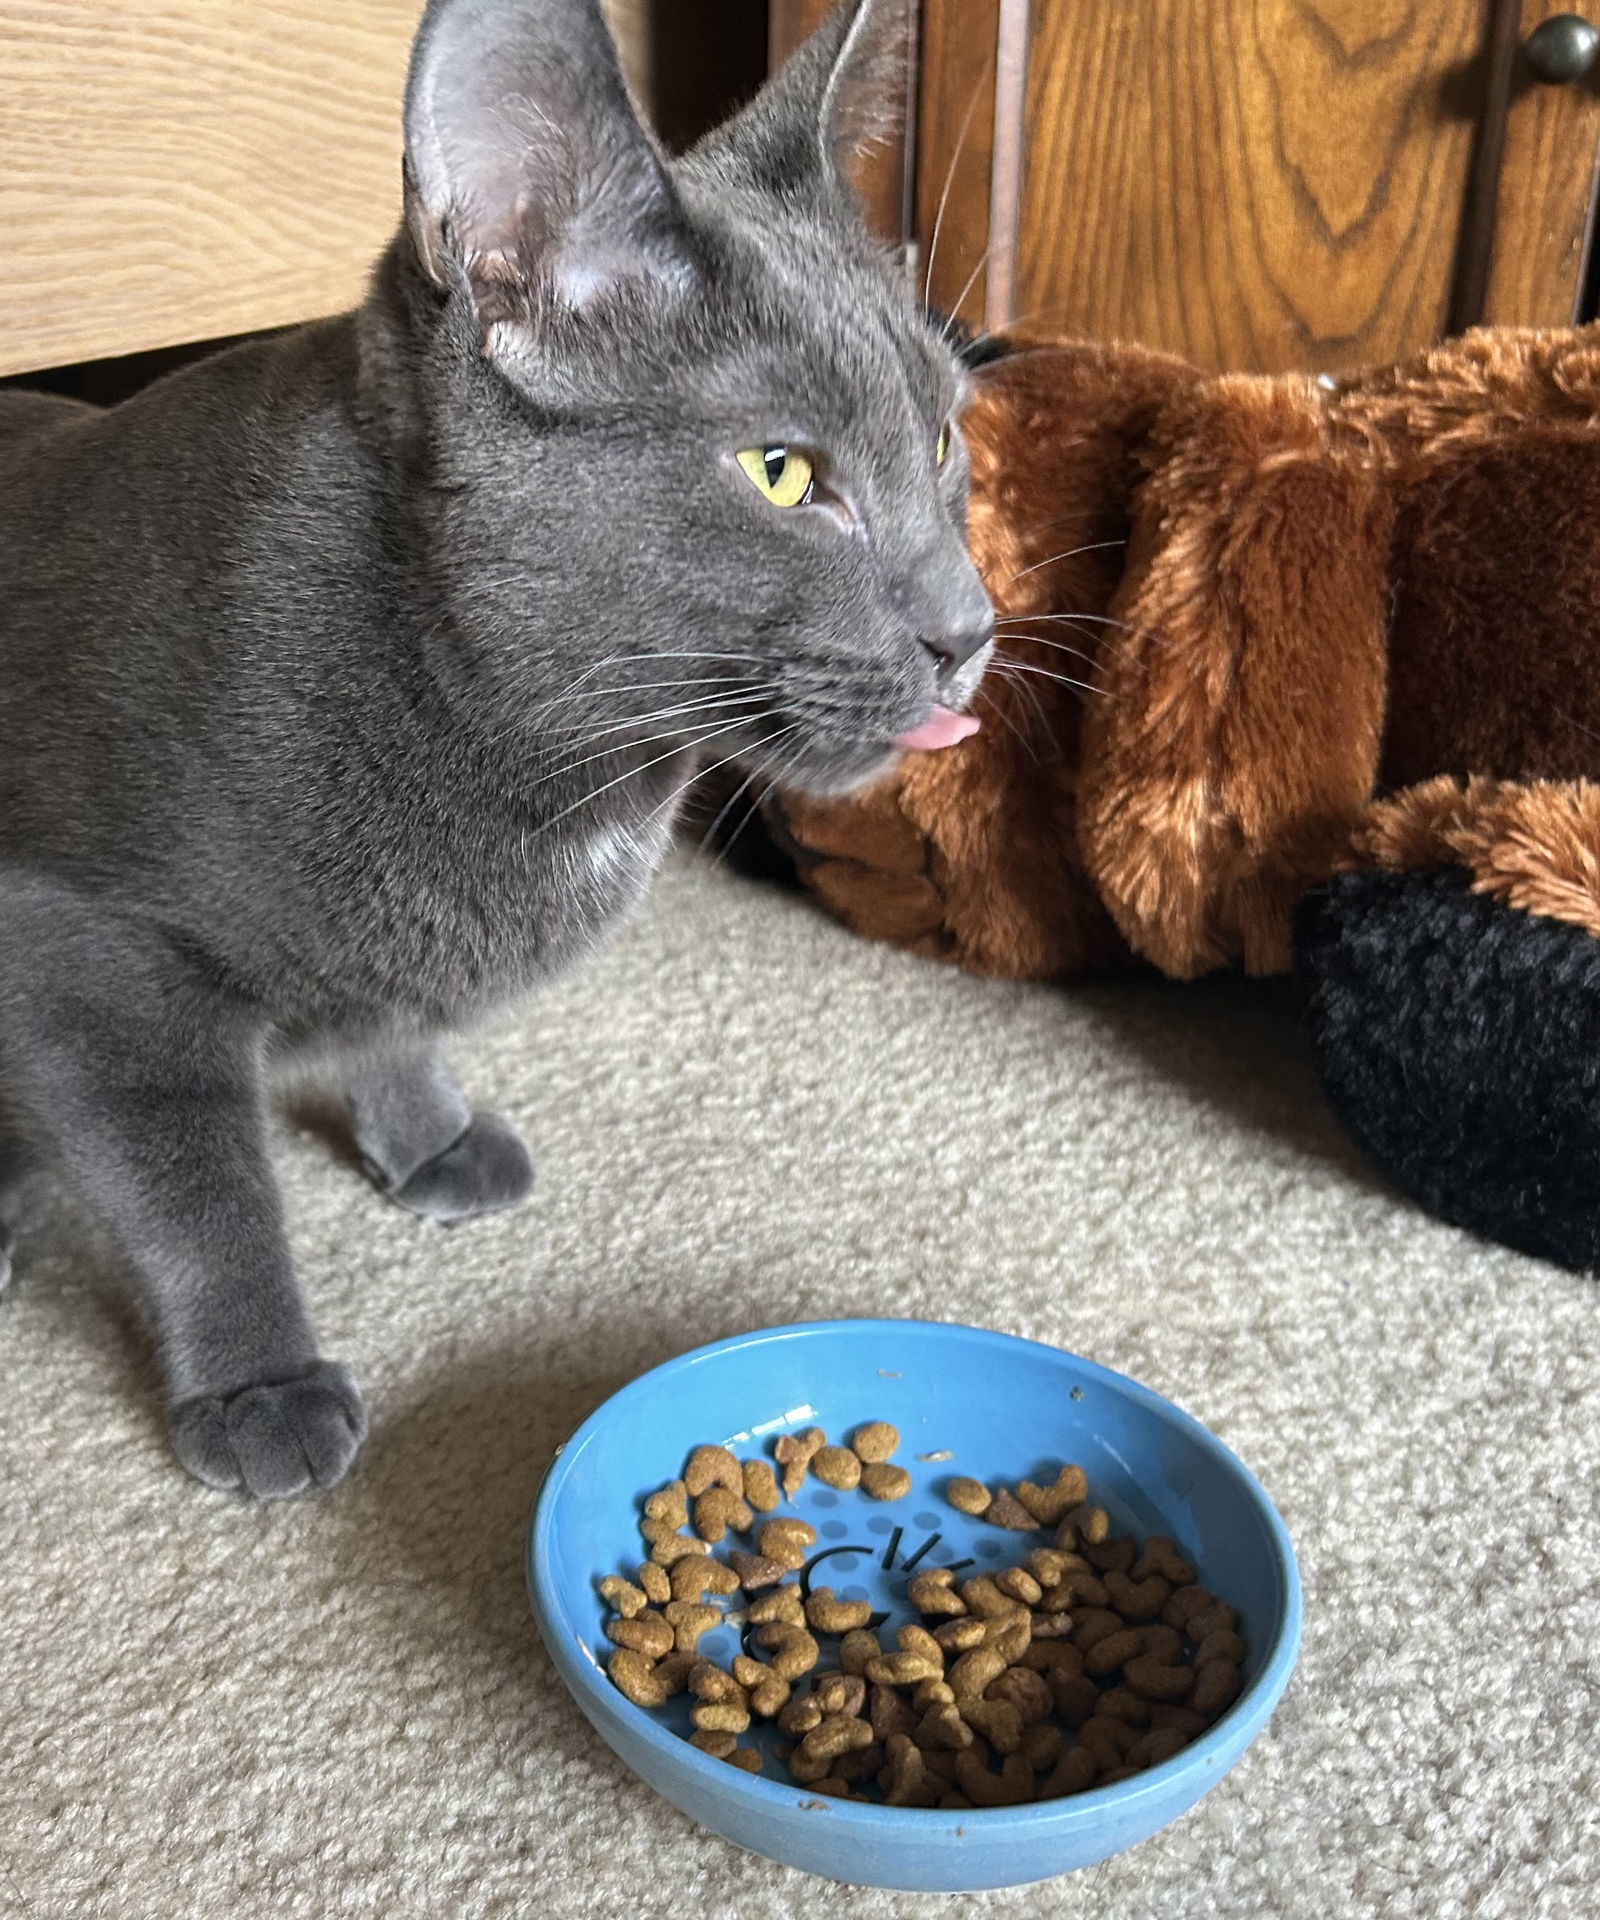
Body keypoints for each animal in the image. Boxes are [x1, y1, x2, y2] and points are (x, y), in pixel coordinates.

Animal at [0, 0, 991, 1497]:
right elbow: (197, 1188)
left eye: (943, 444)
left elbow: (396, 1021)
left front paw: (431, 1135)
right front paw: (262, 1385)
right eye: (780, 473)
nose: (971, 626)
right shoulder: (83, 948)